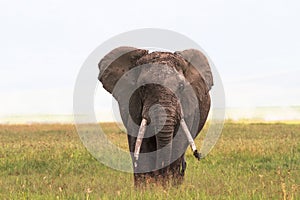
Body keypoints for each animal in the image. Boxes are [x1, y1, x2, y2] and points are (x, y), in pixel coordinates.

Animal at [97, 46, 212, 187]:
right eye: (143, 87)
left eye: (181, 87)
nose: (198, 154)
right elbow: (140, 144)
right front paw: (146, 188)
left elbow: (178, 142)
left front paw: (168, 187)